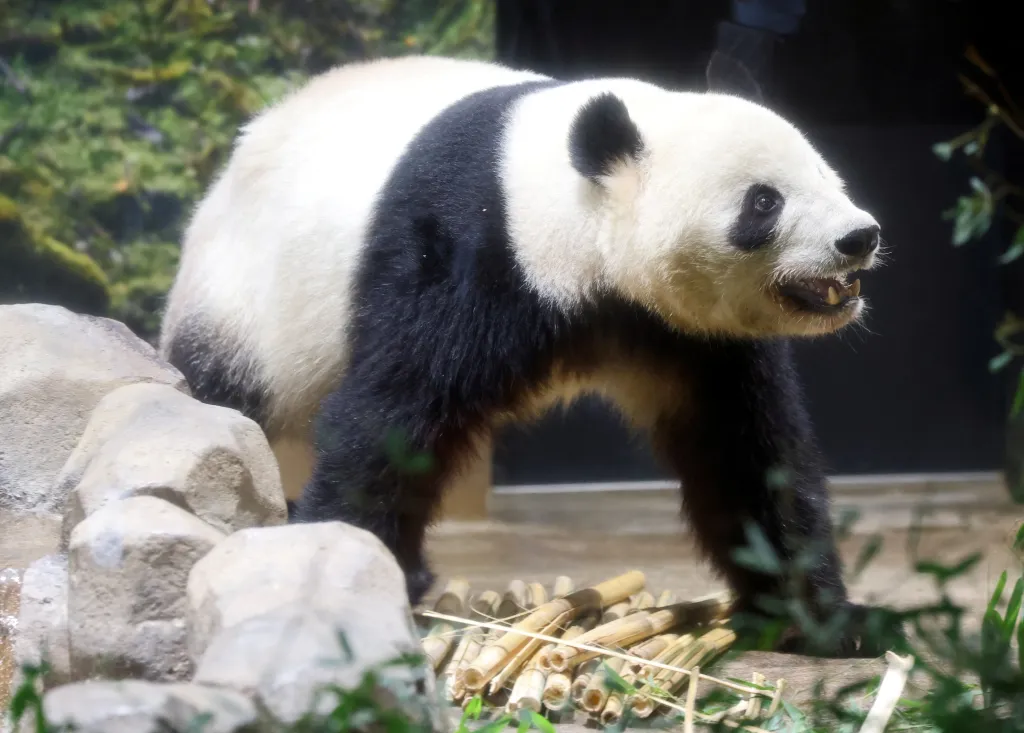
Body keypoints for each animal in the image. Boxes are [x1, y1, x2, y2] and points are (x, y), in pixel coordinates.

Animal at [160, 54, 893, 657]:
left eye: (826, 173)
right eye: (764, 202)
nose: (858, 237)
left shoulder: (689, 334)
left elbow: (746, 451)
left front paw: (825, 621)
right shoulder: (463, 248)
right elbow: (393, 415)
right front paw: (338, 569)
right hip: (247, 302)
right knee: (227, 394)